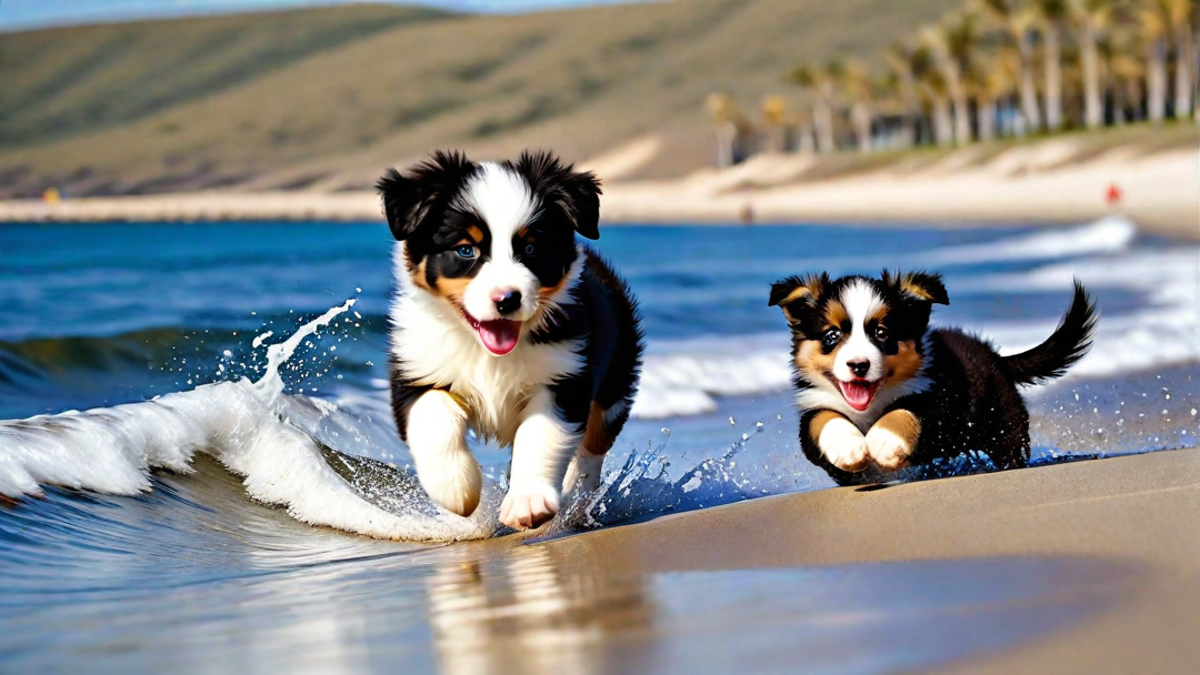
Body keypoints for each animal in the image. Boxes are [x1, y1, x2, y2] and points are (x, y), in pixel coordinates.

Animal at [381, 149, 648, 528]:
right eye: (466, 250)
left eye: (531, 248)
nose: (507, 299)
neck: (489, 352)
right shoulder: (418, 368)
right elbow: (433, 420)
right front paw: (457, 490)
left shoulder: (564, 375)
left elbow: (540, 436)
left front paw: (529, 502)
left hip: (617, 375)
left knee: (594, 442)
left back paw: (577, 497)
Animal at [768, 270, 1099, 485]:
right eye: (831, 336)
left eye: (882, 333)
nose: (859, 365)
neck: (871, 407)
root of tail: (993, 356)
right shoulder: (813, 406)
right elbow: (824, 420)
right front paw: (849, 447)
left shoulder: (937, 399)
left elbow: (905, 412)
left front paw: (883, 442)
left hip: (1003, 424)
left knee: (1011, 450)